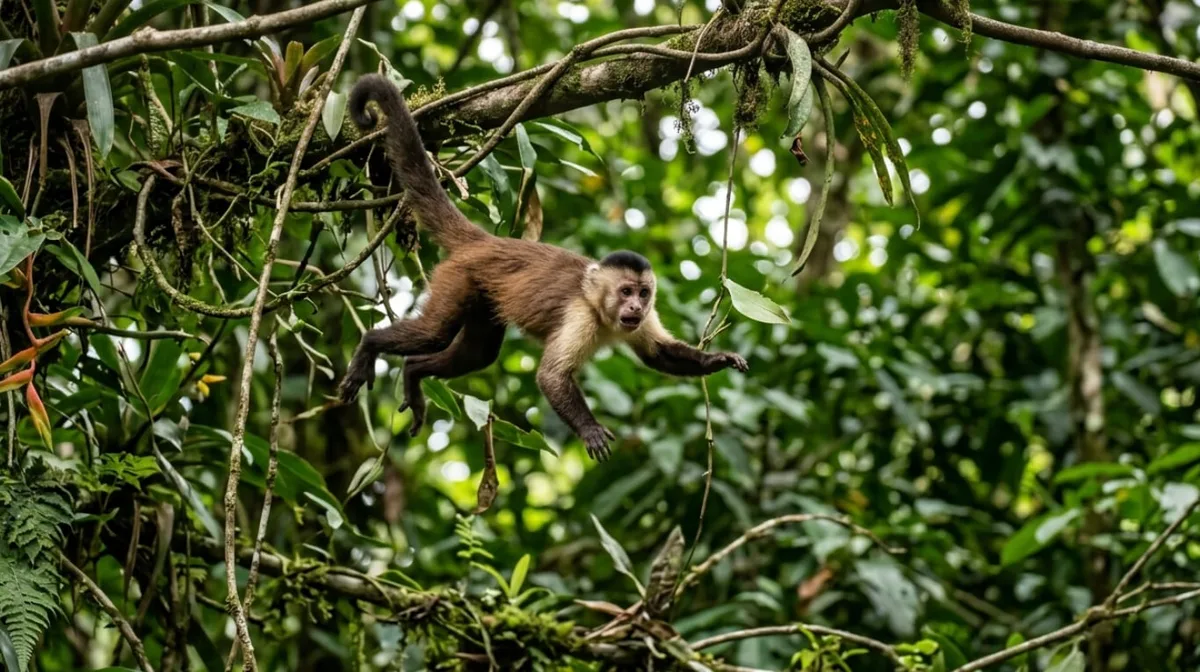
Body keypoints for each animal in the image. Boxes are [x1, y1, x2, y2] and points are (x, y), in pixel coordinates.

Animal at [338, 74, 749, 461]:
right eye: (625, 292)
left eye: (643, 294)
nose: (635, 306)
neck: (601, 312)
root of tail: (486, 241)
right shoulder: (579, 315)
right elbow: (551, 377)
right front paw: (590, 429)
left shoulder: (642, 321)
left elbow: (658, 354)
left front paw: (718, 359)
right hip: (458, 277)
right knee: (434, 332)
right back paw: (370, 346)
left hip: (483, 294)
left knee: (479, 353)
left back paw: (414, 371)